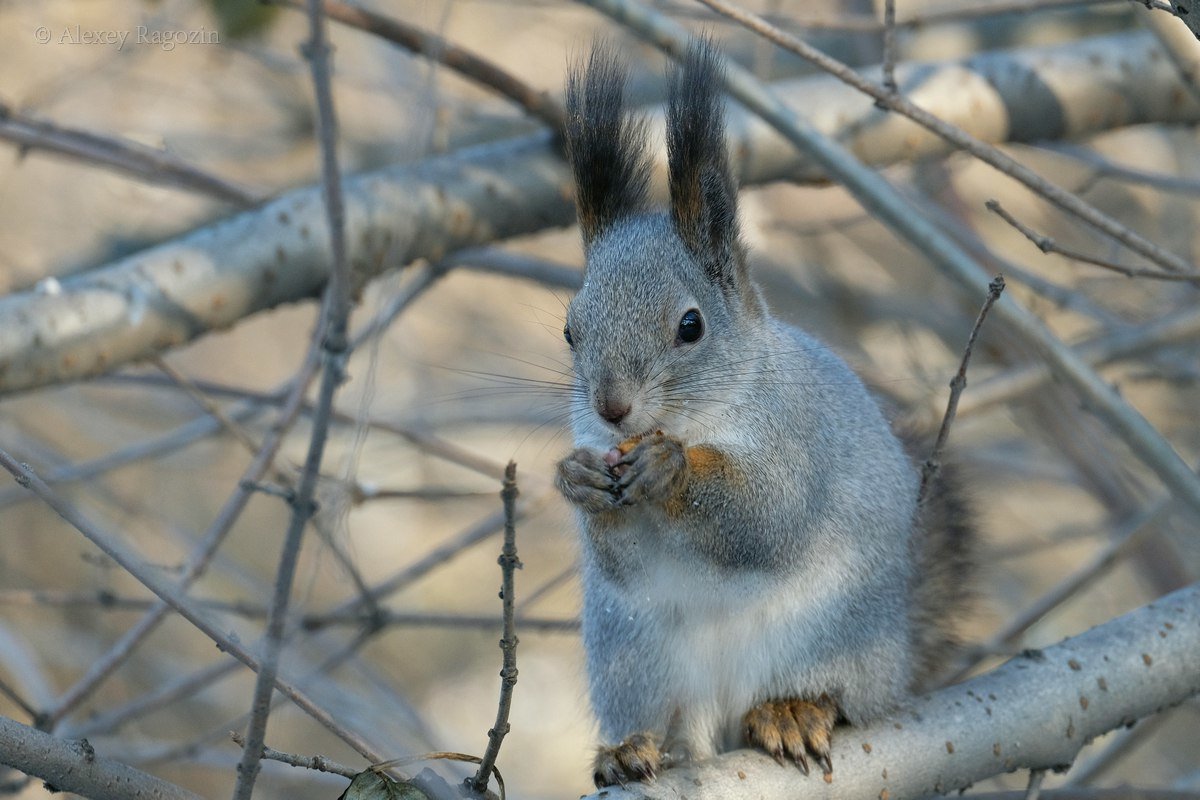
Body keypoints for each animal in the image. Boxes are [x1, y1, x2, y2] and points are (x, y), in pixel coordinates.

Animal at [552, 38, 974, 786]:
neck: (701, 419)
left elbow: (764, 518)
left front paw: (673, 468)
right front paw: (577, 480)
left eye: (691, 326)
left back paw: (794, 712)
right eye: (570, 331)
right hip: (635, 657)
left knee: (834, 695)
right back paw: (635, 748)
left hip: (832, 635)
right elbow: (620, 560)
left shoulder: (797, 440)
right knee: (671, 722)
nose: (611, 409)